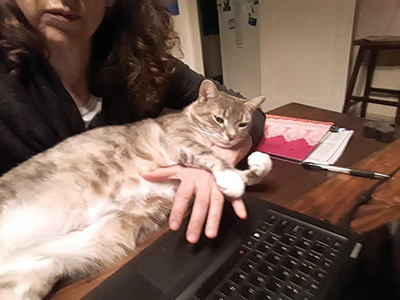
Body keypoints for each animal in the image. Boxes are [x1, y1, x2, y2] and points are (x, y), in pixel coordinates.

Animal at [0, 79, 272, 300]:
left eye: (242, 124)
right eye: (218, 119)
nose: (230, 136)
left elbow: (253, 171)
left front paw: (257, 165)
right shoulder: (177, 139)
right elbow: (211, 157)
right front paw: (230, 176)